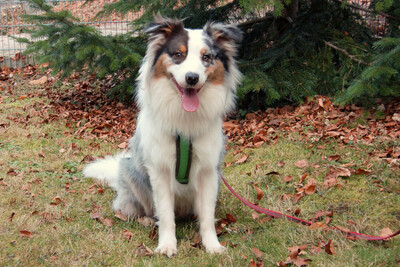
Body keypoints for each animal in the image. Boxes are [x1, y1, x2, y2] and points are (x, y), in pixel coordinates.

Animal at [83, 15, 242, 258]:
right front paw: (167, 245)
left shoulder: (209, 171)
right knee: (132, 209)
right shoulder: (160, 171)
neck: (185, 124)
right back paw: (146, 220)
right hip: (130, 172)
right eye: (178, 55)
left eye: (206, 57)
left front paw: (212, 245)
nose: (192, 78)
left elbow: (207, 216)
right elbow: (166, 215)